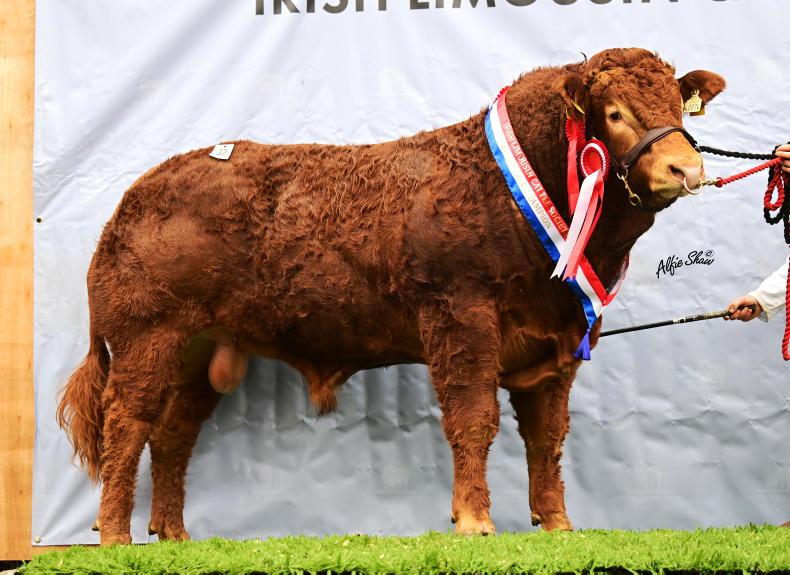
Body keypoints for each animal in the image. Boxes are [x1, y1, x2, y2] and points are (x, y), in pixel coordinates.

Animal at [57, 47, 725, 545]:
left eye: (680, 108)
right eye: (614, 112)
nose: (686, 170)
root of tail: (135, 196)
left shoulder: (554, 345)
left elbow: (547, 436)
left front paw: (558, 525)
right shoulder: (459, 316)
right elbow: (473, 418)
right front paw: (474, 521)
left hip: (198, 355)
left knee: (172, 434)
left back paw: (173, 536)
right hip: (147, 337)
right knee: (127, 425)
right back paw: (114, 537)